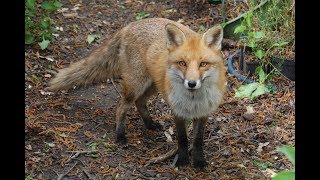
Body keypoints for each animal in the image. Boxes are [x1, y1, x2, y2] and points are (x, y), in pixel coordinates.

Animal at [48, 17, 226, 169]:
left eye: (203, 64)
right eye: (182, 63)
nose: (191, 83)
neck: (194, 100)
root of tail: (130, 25)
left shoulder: (203, 113)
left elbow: (197, 140)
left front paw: (199, 161)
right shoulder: (177, 111)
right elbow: (182, 139)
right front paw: (182, 160)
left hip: (153, 85)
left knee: (140, 102)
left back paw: (150, 124)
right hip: (136, 85)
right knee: (121, 107)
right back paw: (120, 136)